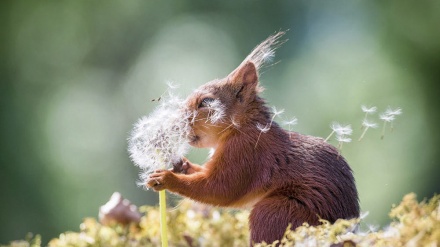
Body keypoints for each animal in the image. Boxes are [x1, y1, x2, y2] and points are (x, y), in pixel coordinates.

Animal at [146, 32, 360, 245]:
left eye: (206, 102)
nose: (175, 123)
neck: (241, 127)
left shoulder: (246, 152)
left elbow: (220, 189)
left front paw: (167, 178)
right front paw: (182, 165)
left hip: (275, 212)